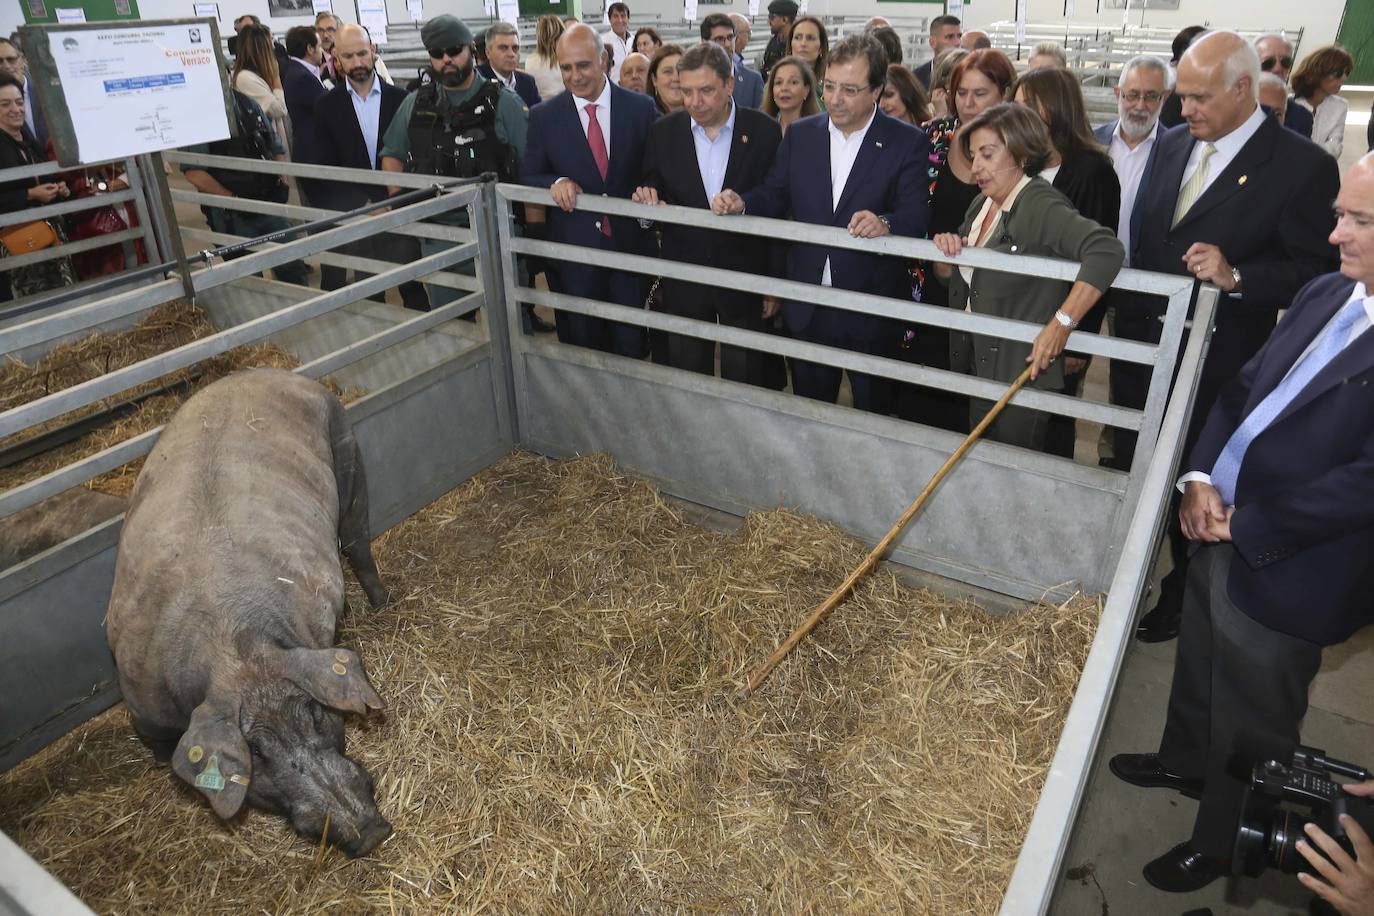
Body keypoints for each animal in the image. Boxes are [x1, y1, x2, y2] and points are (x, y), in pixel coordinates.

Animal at [107, 368, 392, 856]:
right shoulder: (142, 705)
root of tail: (255, 372)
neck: (233, 649)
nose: (371, 833)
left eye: (314, 713)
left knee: (358, 542)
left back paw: (382, 602)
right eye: (255, 752)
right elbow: (161, 751)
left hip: (348, 452)